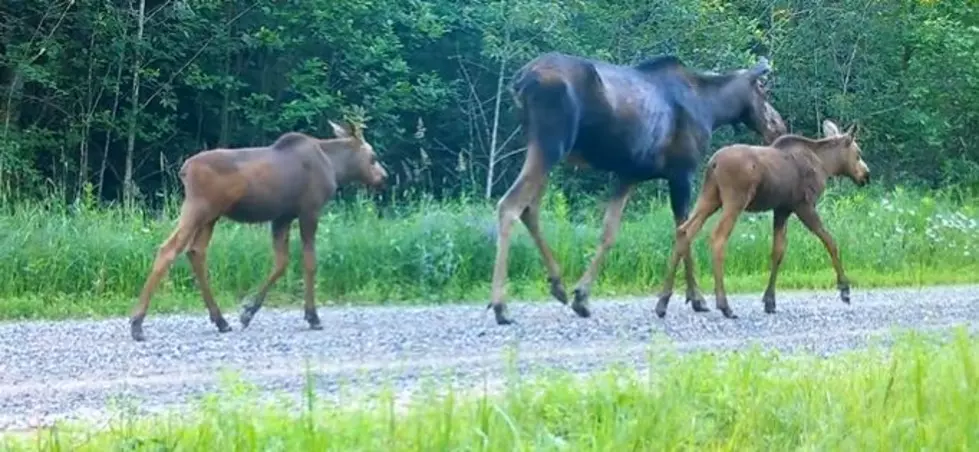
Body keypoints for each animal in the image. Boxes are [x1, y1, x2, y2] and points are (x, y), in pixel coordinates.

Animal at [128, 122, 388, 340]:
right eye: (373, 156)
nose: (383, 177)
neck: (336, 167)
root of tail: (184, 169)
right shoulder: (309, 211)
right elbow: (309, 262)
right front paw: (313, 316)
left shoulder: (282, 217)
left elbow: (281, 262)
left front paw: (248, 311)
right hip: (199, 208)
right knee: (169, 248)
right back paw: (137, 323)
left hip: (211, 216)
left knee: (195, 252)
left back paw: (220, 320)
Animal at [490, 50, 788, 324]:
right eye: (762, 90)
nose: (778, 126)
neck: (712, 109)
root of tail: (522, 80)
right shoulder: (682, 173)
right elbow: (683, 231)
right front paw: (696, 298)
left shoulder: (628, 174)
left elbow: (609, 232)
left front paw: (582, 296)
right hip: (551, 143)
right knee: (510, 205)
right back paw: (501, 305)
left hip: (541, 146)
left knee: (530, 209)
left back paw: (557, 284)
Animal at [656, 118, 868, 320]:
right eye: (858, 153)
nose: (866, 175)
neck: (826, 164)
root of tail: (712, 164)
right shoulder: (804, 205)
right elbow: (830, 241)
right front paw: (844, 289)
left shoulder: (782, 209)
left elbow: (778, 251)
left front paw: (769, 301)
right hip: (735, 200)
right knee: (717, 238)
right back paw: (724, 305)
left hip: (709, 197)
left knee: (684, 231)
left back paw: (663, 302)